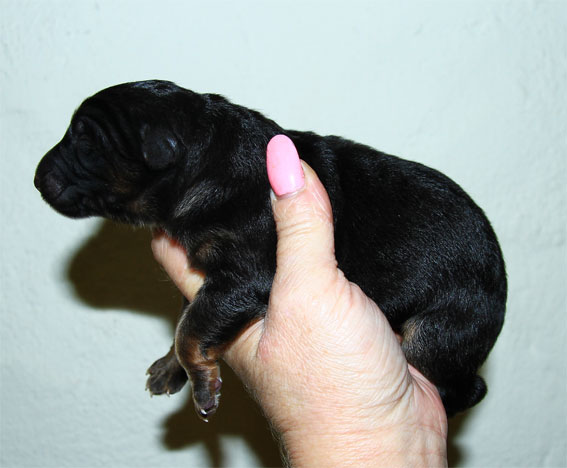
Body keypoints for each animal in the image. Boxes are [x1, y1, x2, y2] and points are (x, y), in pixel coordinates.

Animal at [34, 80, 507, 420]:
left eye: (86, 145)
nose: (36, 179)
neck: (210, 162)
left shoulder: (246, 276)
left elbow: (192, 328)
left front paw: (200, 382)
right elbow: (188, 317)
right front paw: (171, 367)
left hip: (442, 329)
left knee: (468, 385)